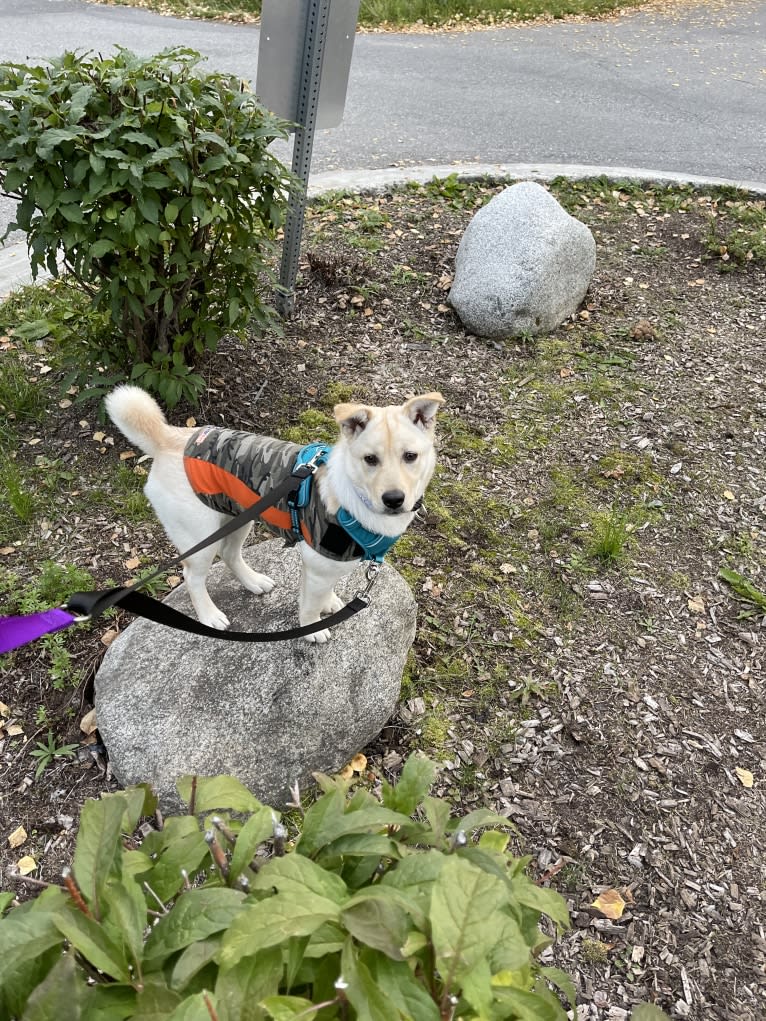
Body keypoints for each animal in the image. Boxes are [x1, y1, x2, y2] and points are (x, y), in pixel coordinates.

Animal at [105, 385, 447, 641]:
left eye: (410, 456)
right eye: (370, 459)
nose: (394, 499)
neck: (354, 495)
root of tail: (169, 437)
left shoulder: (325, 564)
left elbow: (322, 593)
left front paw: (329, 602)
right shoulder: (318, 564)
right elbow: (309, 605)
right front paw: (312, 630)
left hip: (237, 519)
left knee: (230, 554)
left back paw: (254, 582)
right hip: (199, 538)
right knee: (193, 577)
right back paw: (209, 615)